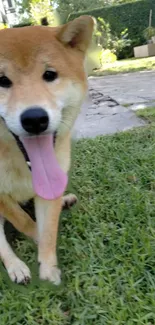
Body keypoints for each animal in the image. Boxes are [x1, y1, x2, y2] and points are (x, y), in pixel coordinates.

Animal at [0, 15, 94, 284]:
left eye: (50, 75)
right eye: (1, 81)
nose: (34, 119)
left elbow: (49, 229)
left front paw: (49, 268)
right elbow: (24, 222)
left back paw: (65, 200)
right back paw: (16, 267)